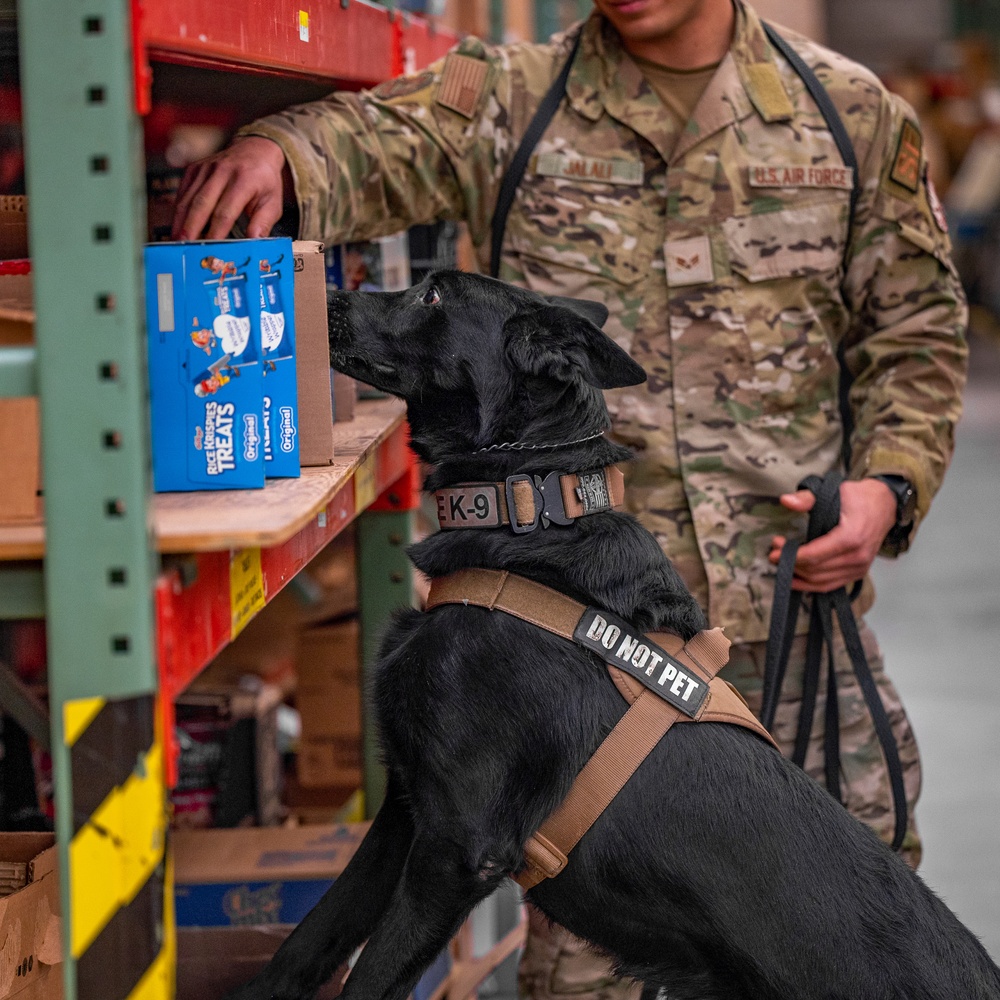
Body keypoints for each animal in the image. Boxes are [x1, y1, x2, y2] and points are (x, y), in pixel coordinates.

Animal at [227, 268, 1000, 1000]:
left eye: (434, 293)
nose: (321, 292)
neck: (528, 505)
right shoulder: (402, 815)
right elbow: (307, 943)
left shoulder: (456, 850)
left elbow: (367, 976)